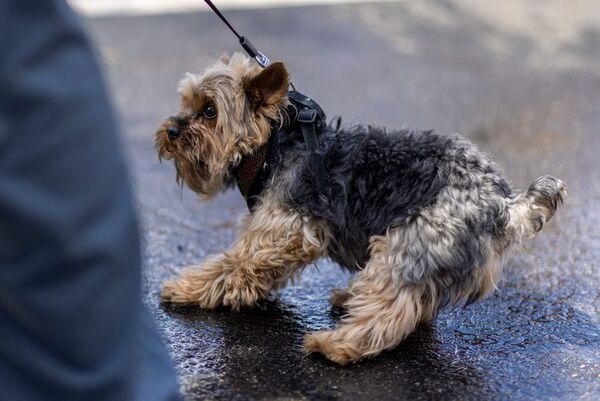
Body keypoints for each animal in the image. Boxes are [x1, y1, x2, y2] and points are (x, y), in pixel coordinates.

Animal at [155, 52, 568, 362]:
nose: (171, 131)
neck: (274, 147)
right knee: (416, 303)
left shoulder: (287, 229)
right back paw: (351, 300)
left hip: (409, 242)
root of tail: (504, 204)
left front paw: (192, 287)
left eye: (210, 110)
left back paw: (336, 344)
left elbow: (234, 262)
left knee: (391, 311)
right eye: (186, 103)